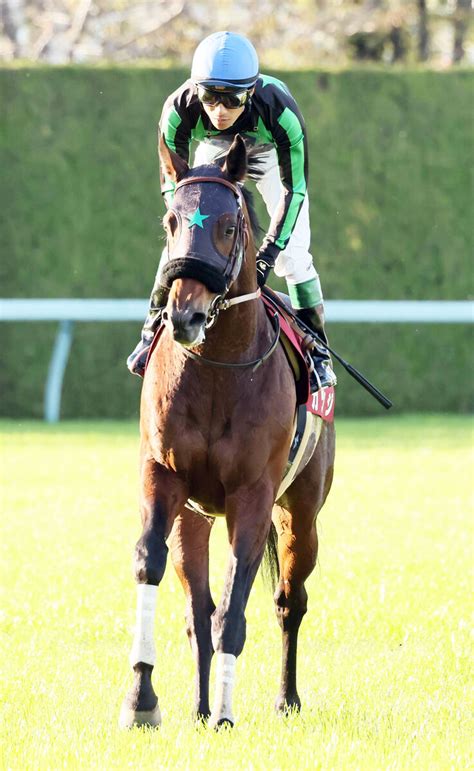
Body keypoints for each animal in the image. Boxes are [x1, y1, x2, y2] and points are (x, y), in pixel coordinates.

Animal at [120, 134, 336, 728]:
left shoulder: (252, 494)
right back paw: (196, 707)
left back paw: (285, 698)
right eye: (171, 220)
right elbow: (151, 565)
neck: (217, 367)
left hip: (301, 512)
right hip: (196, 515)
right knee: (198, 609)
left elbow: (236, 610)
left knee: (289, 600)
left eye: (229, 225)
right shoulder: (163, 475)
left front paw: (224, 713)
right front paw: (142, 699)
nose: (184, 315)